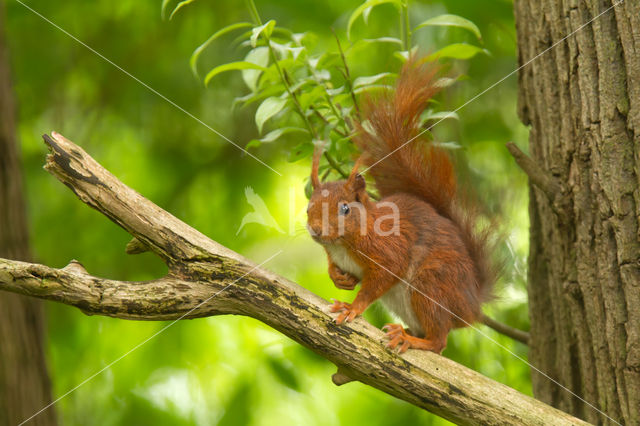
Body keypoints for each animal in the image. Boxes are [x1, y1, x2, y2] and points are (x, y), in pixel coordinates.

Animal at [308, 59, 498, 352]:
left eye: (345, 208)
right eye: (309, 204)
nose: (316, 229)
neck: (343, 243)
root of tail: (470, 306)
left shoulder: (390, 251)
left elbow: (377, 284)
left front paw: (353, 307)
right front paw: (339, 278)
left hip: (430, 285)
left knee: (439, 342)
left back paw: (411, 339)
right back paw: (405, 330)